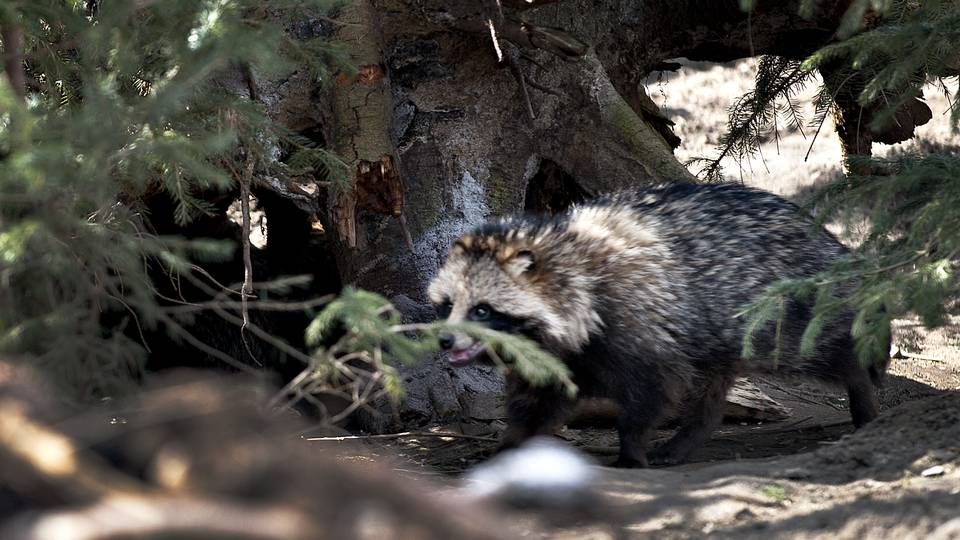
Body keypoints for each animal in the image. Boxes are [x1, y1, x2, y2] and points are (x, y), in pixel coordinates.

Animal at [428, 184, 884, 466]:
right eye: (448, 305)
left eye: (482, 310)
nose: (445, 342)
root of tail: (824, 236)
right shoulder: (552, 358)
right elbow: (536, 401)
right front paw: (512, 442)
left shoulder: (640, 327)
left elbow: (647, 396)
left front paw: (631, 448)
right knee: (710, 392)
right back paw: (690, 435)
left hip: (781, 310)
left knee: (825, 347)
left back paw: (861, 382)